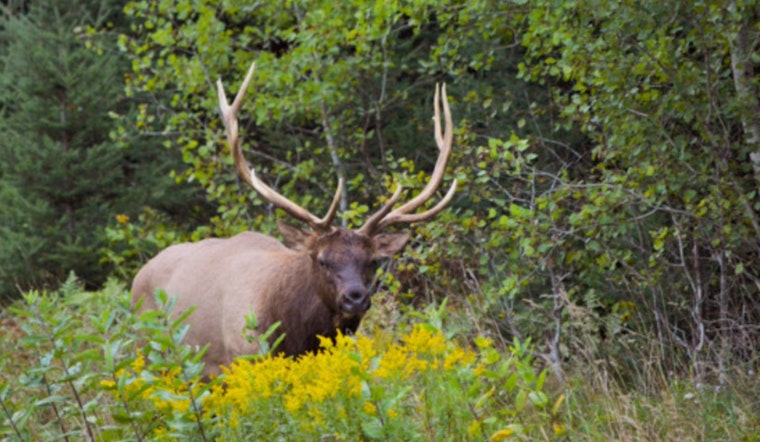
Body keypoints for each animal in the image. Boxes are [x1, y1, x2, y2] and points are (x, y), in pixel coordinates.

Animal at [131, 62, 456, 377]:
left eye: (371, 261)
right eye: (322, 260)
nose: (355, 298)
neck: (296, 334)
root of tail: (138, 276)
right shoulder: (241, 357)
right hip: (148, 353)